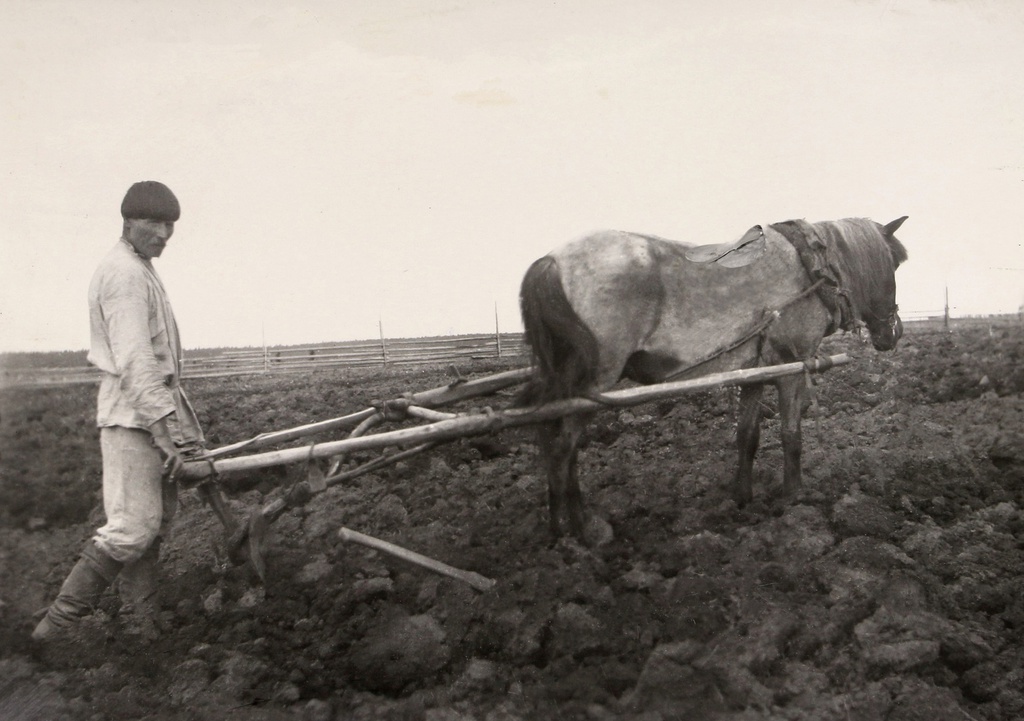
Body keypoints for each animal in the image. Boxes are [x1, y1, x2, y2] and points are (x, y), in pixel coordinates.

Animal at [524, 217, 909, 536]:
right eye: (893, 264)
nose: (894, 333)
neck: (813, 269)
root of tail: (551, 261)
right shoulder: (792, 368)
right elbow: (791, 435)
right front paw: (793, 496)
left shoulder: (754, 372)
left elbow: (748, 436)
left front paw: (742, 495)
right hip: (593, 383)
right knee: (562, 448)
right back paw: (576, 530)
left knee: (555, 438)